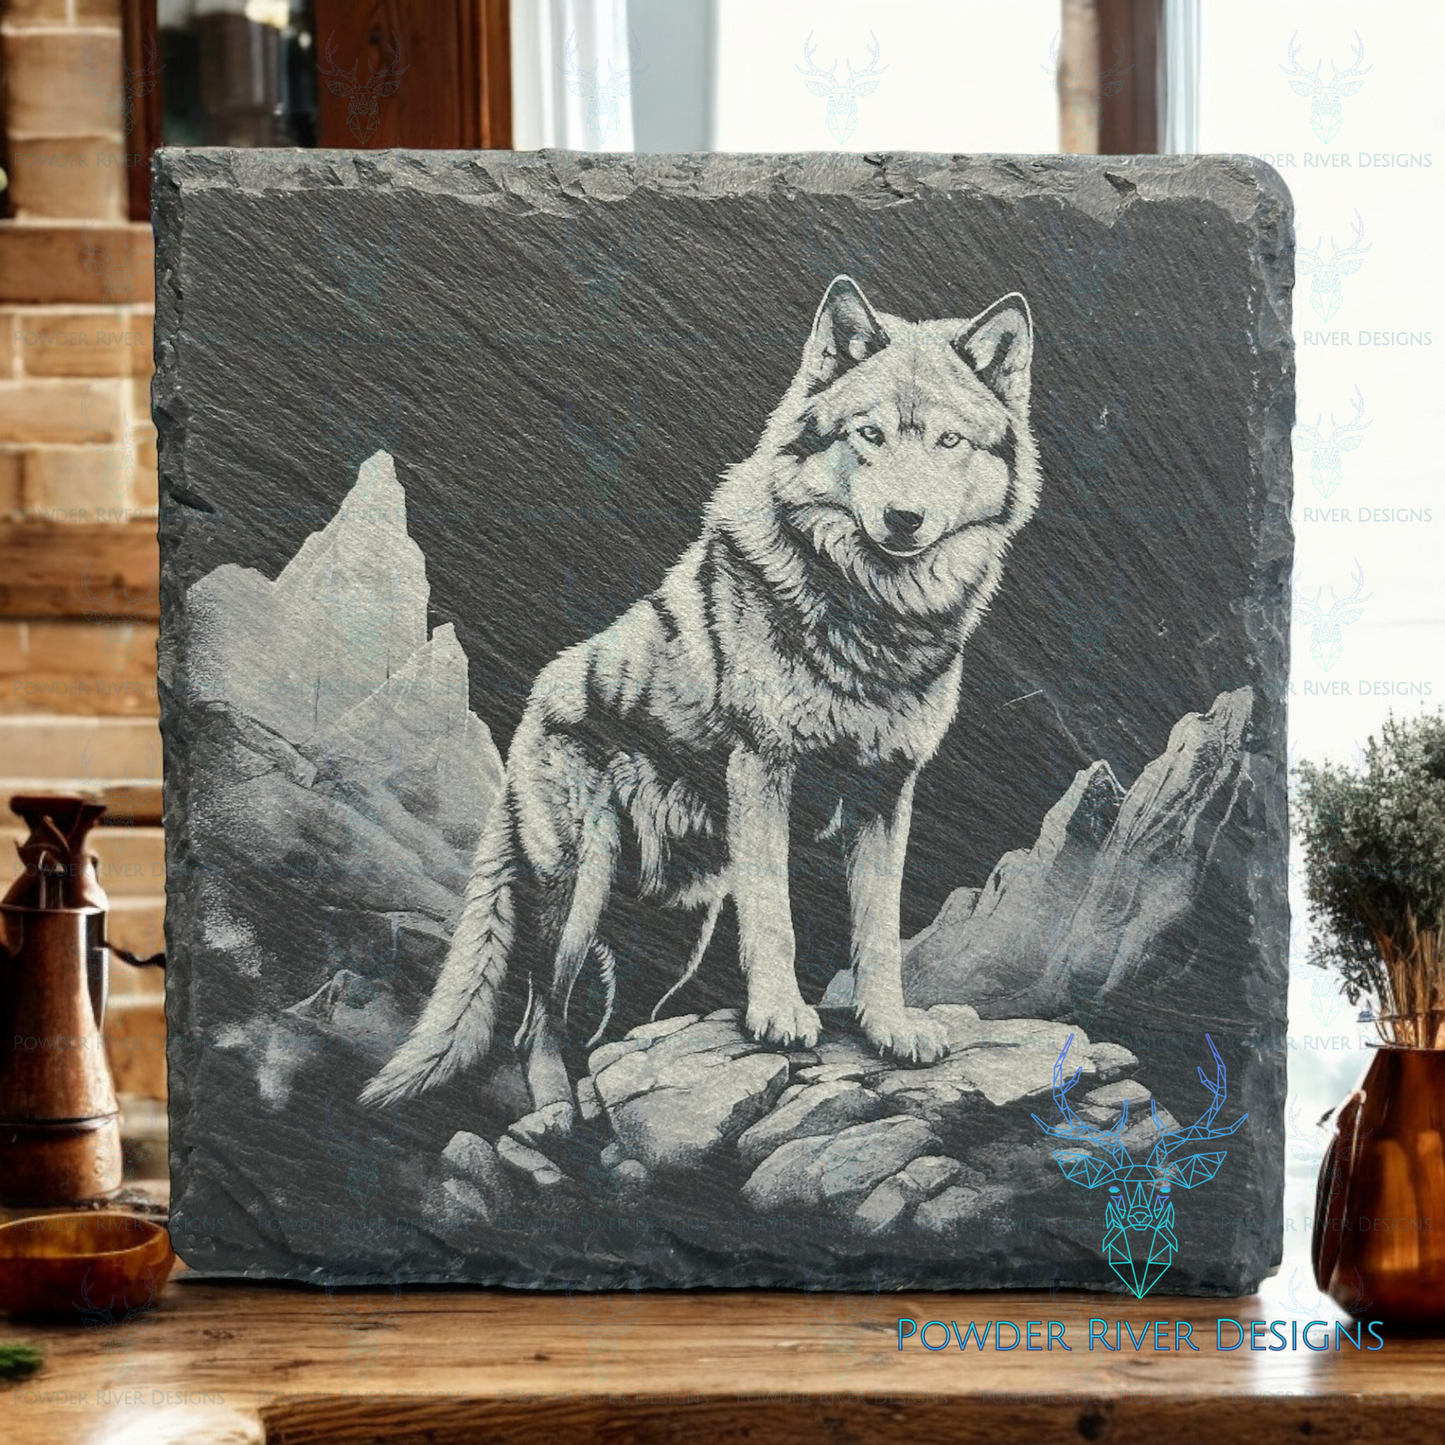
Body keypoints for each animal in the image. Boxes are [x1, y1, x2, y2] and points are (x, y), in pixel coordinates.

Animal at [360, 274, 1039, 1117]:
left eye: (948, 442)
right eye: (870, 435)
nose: (903, 519)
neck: (872, 619)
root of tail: (529, 713)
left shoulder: (888, 793)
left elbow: (877, 931)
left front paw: (889, 1028)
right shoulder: (763, 768)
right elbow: (775, 916)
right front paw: (780, 1016)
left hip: (674, 929)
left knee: (607, 1022)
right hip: (578, 892)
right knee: (536, 1020)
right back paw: (557, 1111)